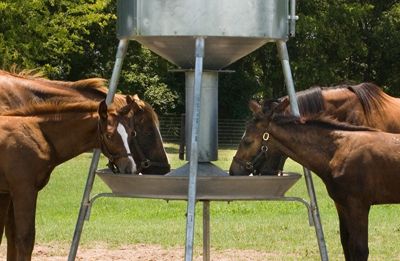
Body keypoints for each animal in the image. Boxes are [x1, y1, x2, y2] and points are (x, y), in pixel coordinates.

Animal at [245, 98, 400, 260]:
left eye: (247, 141)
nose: (236, 169)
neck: (339, 150)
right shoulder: (342, 205)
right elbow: (346, 244)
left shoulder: (358, 206)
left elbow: (359, 250)